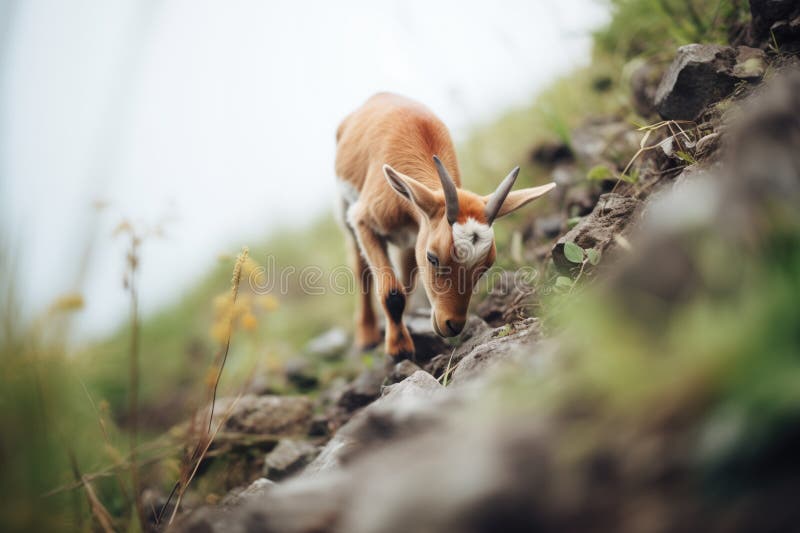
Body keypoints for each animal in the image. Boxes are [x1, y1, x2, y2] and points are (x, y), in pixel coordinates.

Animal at [335, 93, 555, 359]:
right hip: (345, 209)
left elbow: (404, 286)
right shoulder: (364, 221)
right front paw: (399, 349)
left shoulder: (417, 235)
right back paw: (367, 337)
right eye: (433, 257)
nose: (452, 324)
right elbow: (392, 293)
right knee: (360, 268)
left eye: (486, 265)